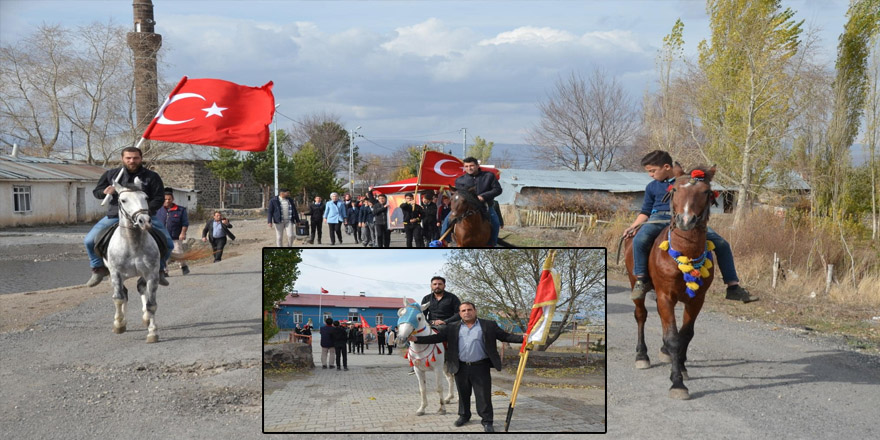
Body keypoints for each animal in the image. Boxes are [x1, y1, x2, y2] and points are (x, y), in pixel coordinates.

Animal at [105, 177, 162, 342]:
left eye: (146, 198)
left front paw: (152, 332)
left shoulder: (152, 274)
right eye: (123, 200)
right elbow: (118, 298)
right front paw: (118, 324)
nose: (144, 221)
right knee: (123, 294)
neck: (132, 244)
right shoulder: (116, 274)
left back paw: (146, 318)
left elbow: (151, 304)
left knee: (141, 289)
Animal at [624, 163, 716, 400]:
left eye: (705, 191)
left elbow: (685, 335)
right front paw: (677, 383)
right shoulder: (666, 296)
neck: (686, 253)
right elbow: (674, 338)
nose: (686, 220)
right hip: (635, 284)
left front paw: (681, 367)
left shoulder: (696, 300)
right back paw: (642, 356)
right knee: (641, 316)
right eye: (675, 190)